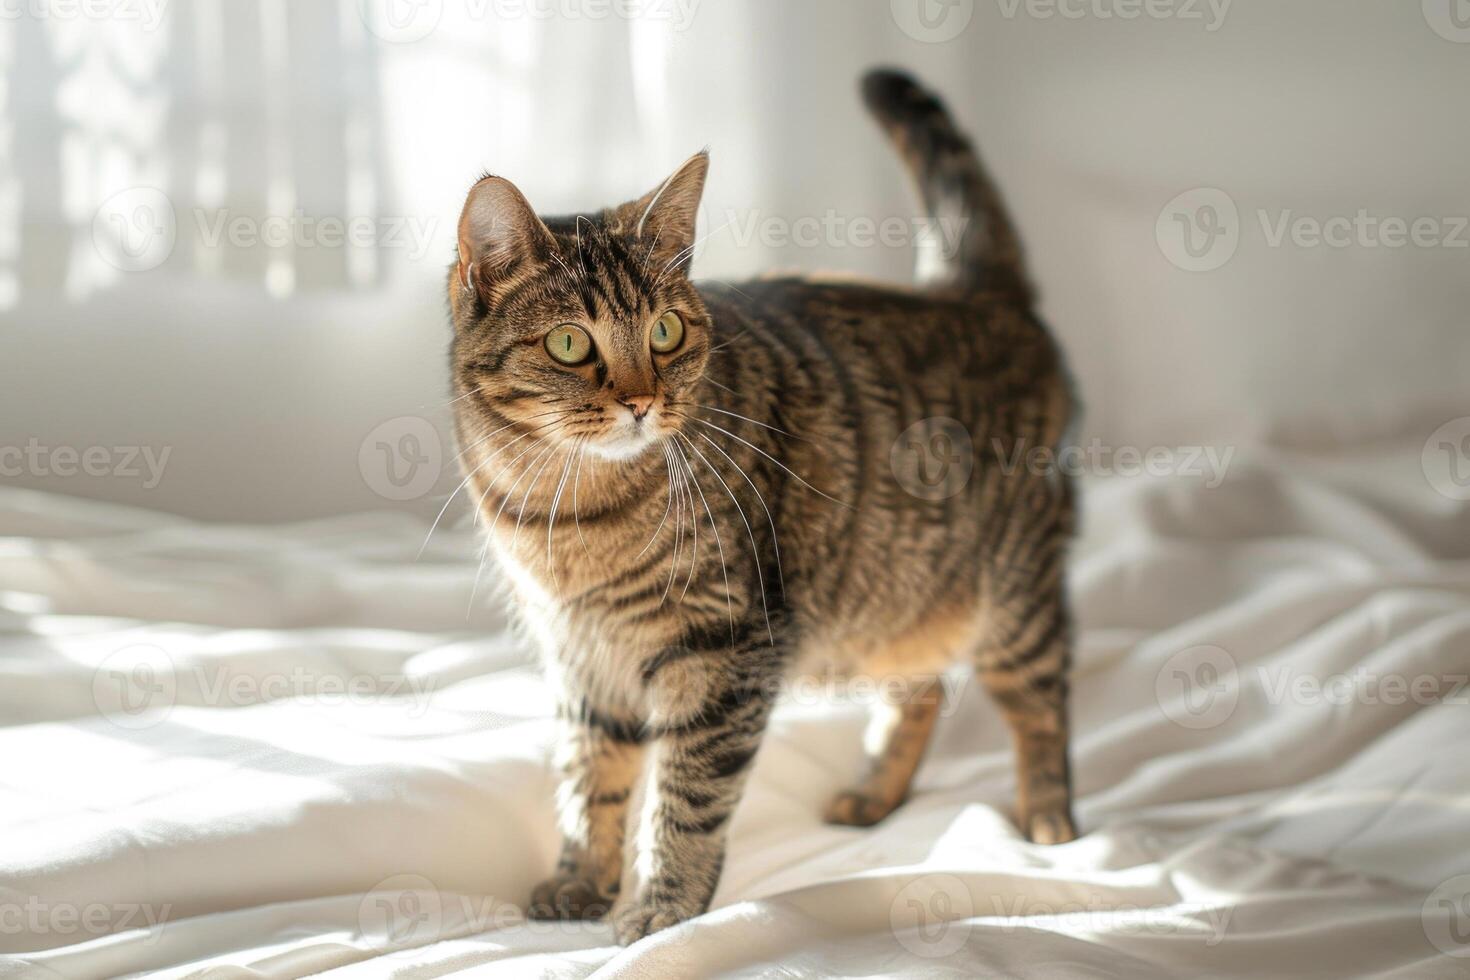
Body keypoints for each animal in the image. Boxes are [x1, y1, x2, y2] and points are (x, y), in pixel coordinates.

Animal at [441, 69, 1076, 940]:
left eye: (667, 332)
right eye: (570, 343)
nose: (641, 401)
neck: (567, 514)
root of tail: (975, 293)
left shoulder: (724, 649)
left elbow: (684, 799)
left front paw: (663, 905)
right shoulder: (580, 658)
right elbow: (590, 778)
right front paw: (580, 878)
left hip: (1013, 596)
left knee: (1041, 701)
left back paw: (1051, 818)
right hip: (894, 597)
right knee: (922, 688)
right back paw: (874, 793)